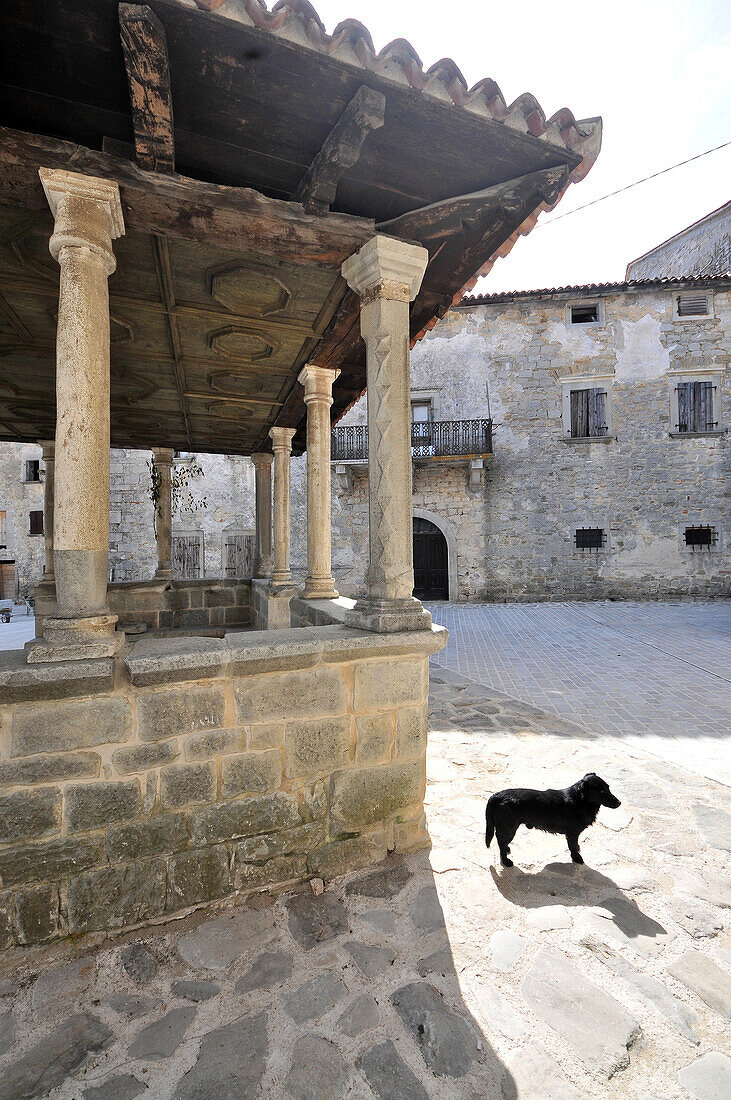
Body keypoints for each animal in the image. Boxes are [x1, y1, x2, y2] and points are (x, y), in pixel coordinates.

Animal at [488, 774, 619, 866]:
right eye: (601, 791)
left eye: (608, 788)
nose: (619, 803)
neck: (579, 800)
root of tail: (497, 795)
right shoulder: (572, 833)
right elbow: (573, 847)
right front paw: (577, 857)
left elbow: (575, 846)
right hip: (509, 828)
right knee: (501, 842)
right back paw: (506, 861)